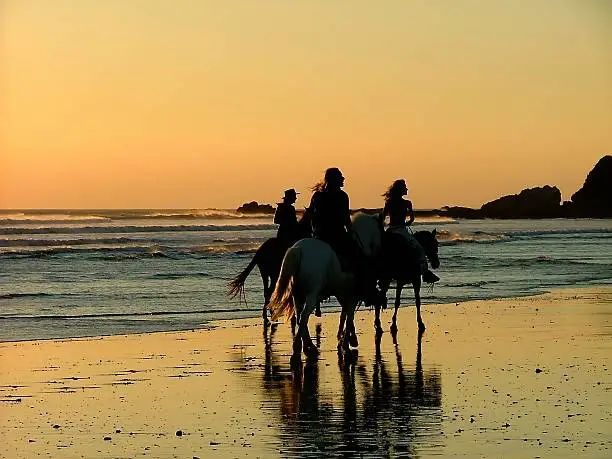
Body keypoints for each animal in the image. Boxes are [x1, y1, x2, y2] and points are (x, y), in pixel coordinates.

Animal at [268, 213, 382, 362]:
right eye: (381, 229)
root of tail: (299, 250)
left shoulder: (343, 294)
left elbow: (345, 314)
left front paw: (346, 339)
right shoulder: (352, 295)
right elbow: (349, 316)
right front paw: (347, 342)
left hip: (297, 295)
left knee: (299, 317)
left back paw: (309, 345)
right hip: (311, 295)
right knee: (304, 316)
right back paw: (299, 347)